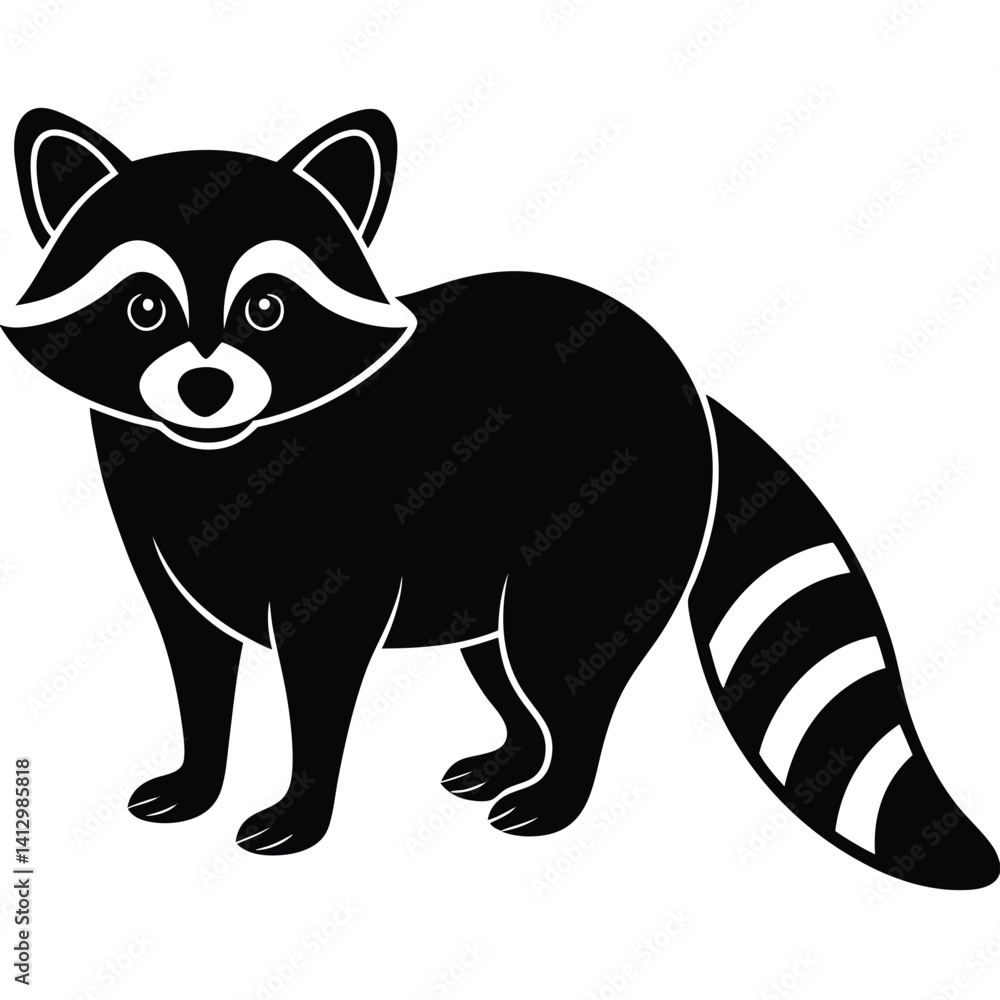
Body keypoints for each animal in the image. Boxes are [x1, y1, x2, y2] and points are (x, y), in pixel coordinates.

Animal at [2, 108, 994, 888]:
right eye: (144, 307)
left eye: (267, 308)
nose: (204, 388)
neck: (213, 457)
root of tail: (688, 384)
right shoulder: (160, 540)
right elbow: (194, 663)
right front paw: (198, 776)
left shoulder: (342, 541)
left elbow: (321, 678)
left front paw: (302, 804)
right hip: (478, 574)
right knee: (506, 667)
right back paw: (515, 750)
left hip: (606, 525)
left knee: (567, 667)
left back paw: (557, 787)